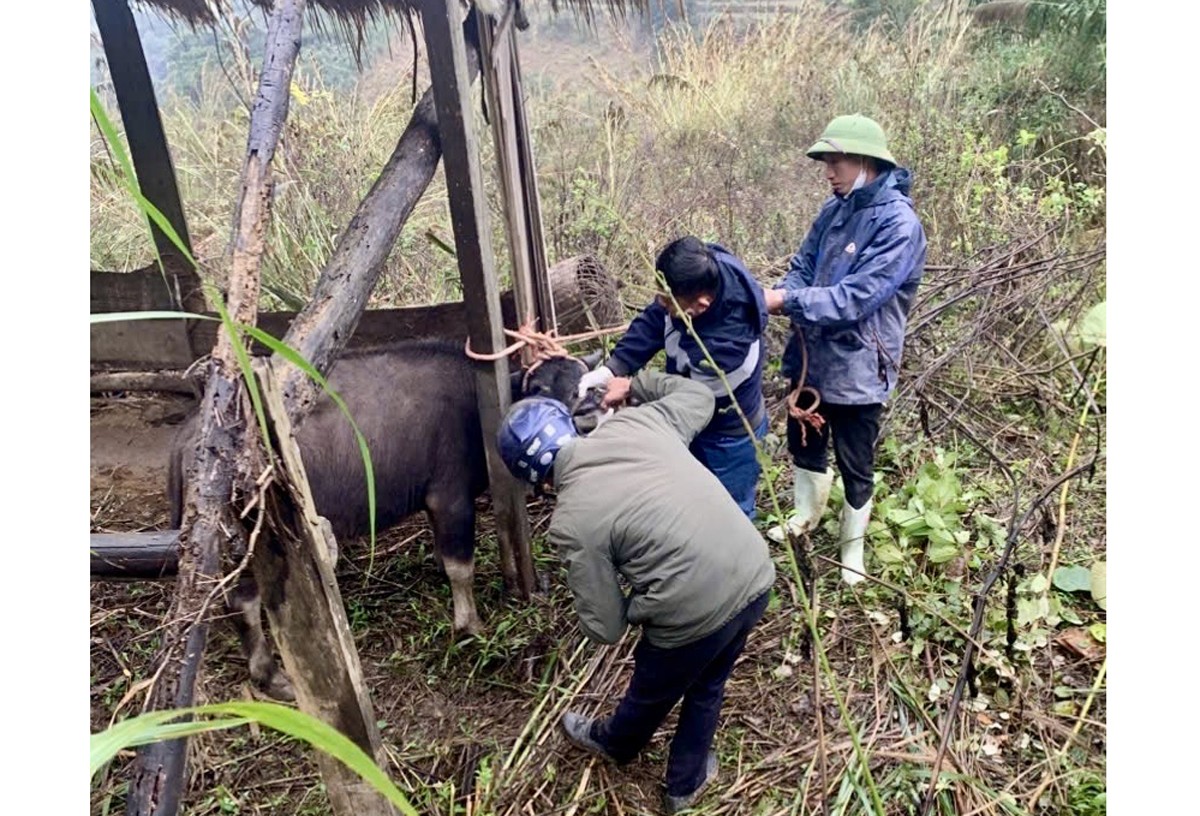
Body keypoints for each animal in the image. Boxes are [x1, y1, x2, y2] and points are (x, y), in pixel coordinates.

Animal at [169, 338, 600, 700]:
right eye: (539, 388)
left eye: (582, 385)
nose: (586, 416)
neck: (478, 403)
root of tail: (193, 439)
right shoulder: (450, 498)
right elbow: (461, 567)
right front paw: (469, 626)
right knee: (243, 601)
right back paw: (272, 675)